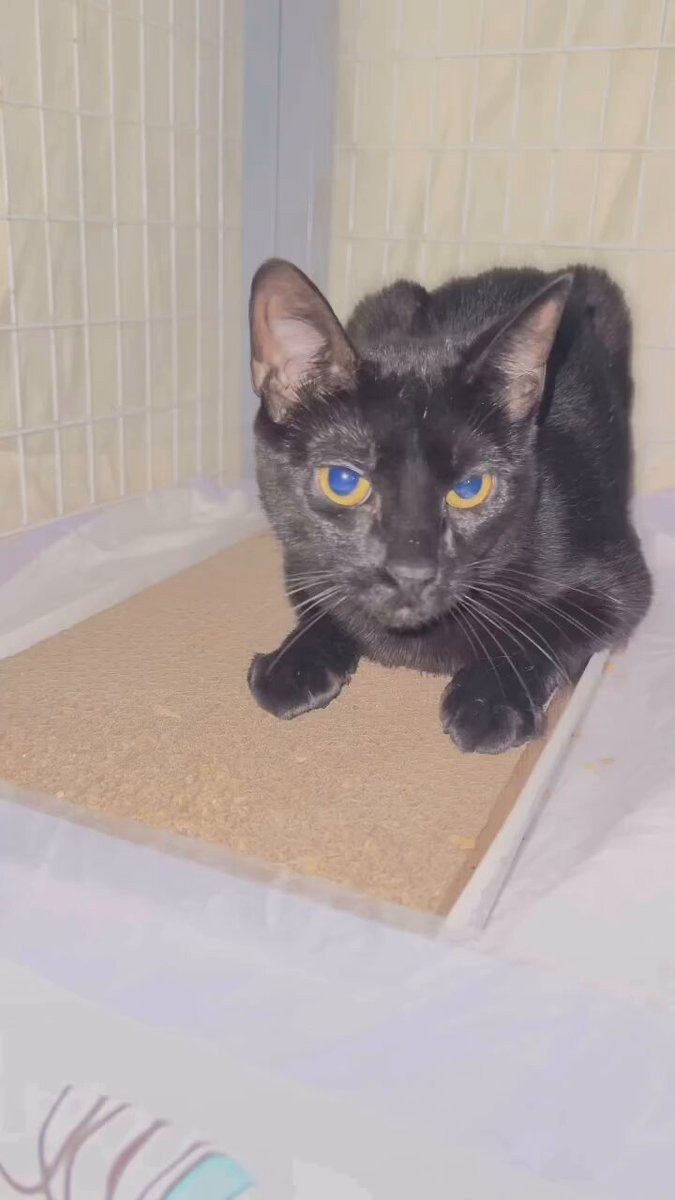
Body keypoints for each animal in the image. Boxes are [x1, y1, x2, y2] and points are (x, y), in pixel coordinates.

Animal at [246, 258, 651, 754]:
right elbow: (322, 599)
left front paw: (490, 700)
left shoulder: (619, 581)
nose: (412, 572)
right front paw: (293, 660)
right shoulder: (300, 559)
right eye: (343, 482)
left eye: (471, 487)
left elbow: (544, 627)